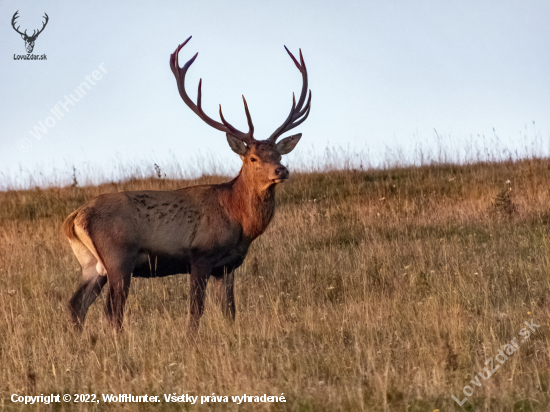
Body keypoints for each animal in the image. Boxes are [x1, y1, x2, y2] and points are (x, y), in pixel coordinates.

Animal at [63, 37, 312, 334]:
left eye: (279, 155)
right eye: (253, 158)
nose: (281, 170)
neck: (238, 220)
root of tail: (73, 218)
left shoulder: (227, 267)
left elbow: (230, 312)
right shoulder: (200, 256)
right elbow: (196, 311)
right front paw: (191, 339)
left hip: (92, 264)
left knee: (76, 305)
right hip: (118, 257)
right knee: (111, 311)